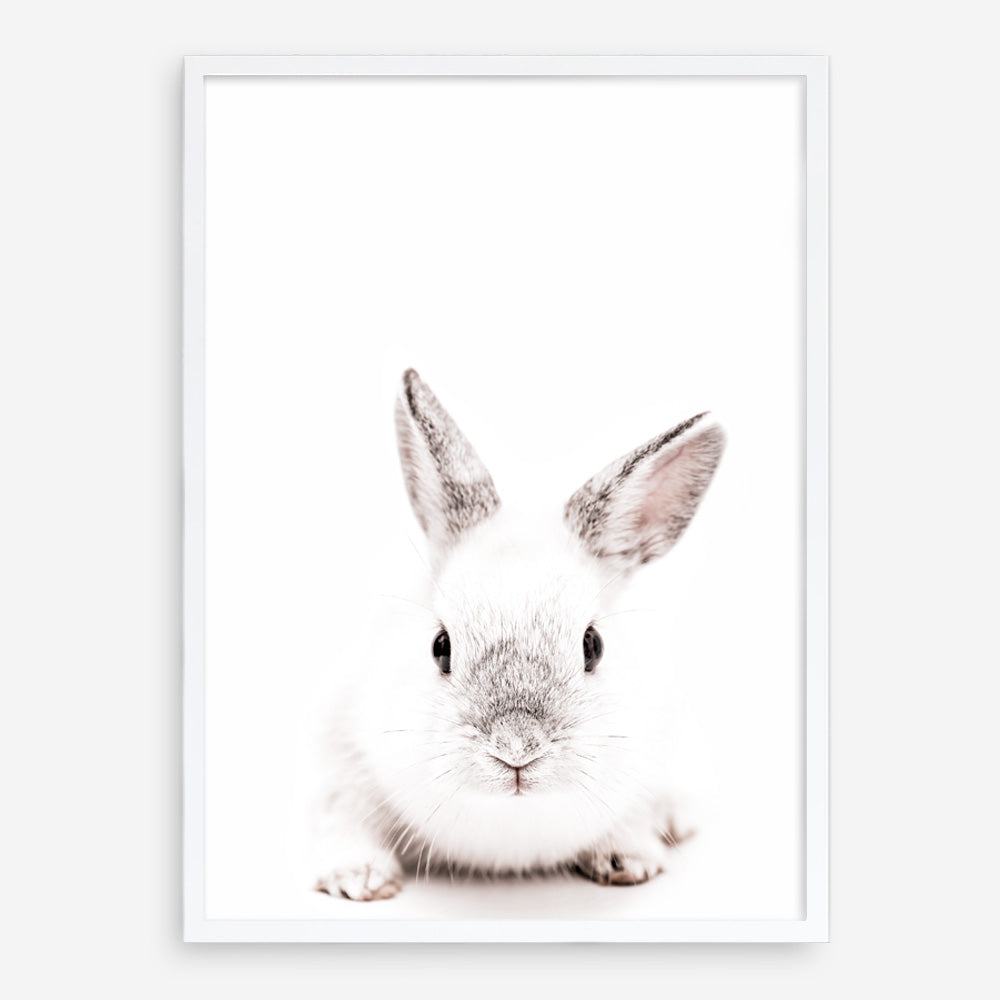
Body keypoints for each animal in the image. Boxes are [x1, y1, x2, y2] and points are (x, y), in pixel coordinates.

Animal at [307, 368, 725, 901]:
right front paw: (358, 878)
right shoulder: (340, 763)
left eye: (593, 646)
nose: (517, 748)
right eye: (440, 647)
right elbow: (342, 818)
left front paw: (628, 860)